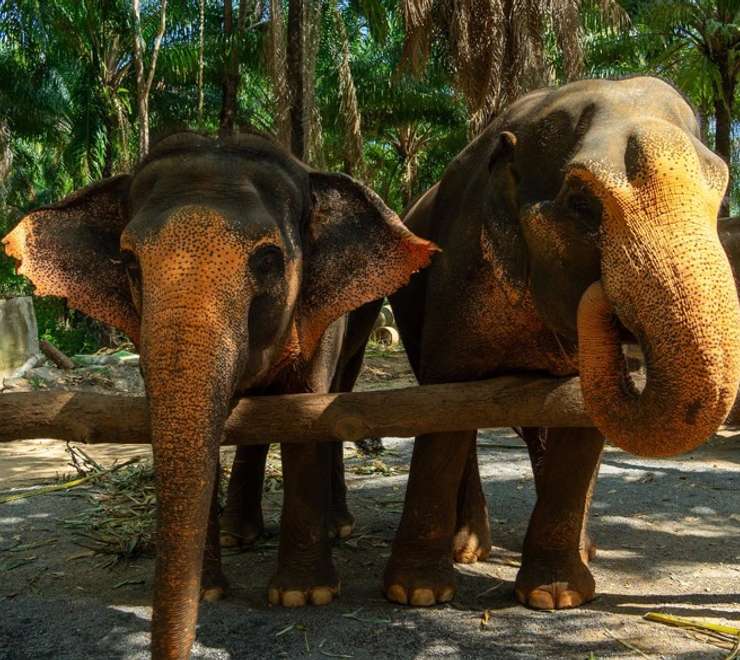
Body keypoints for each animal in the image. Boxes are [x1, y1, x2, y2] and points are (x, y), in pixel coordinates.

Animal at [2, 131, 435, 659]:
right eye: (129, 263)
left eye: (268, 261)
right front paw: (209, 591)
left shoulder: (322, 319)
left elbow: (306, 411)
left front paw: (303, 596)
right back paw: (237, 534)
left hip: (365, 315)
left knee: (340, 391)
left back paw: (337, 526)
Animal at [382, 76, 740, 611]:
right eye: (581, 203)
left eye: (719, 199)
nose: (603, 298)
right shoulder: (457, 276)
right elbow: (444, 410)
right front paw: (416, 593)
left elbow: (580, 422)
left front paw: (556, 597)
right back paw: (469, 549)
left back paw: (585, 550)